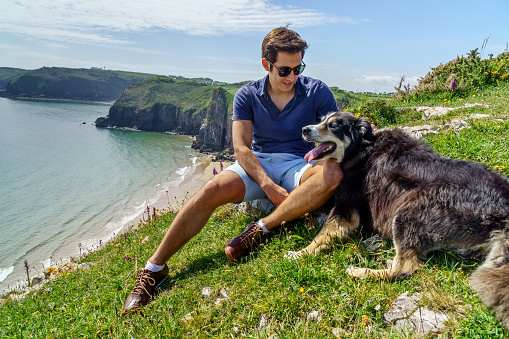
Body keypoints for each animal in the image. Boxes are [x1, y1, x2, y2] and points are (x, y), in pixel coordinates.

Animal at [290, 111, 508, 330]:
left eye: (333, 125)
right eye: (321, 120)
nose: (304, 129)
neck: (361, 147)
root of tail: (503, 212)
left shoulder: (346, 207)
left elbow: (322, 235)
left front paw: (299, 253)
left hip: (410, 210)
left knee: (403, 270)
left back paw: (359, 271)